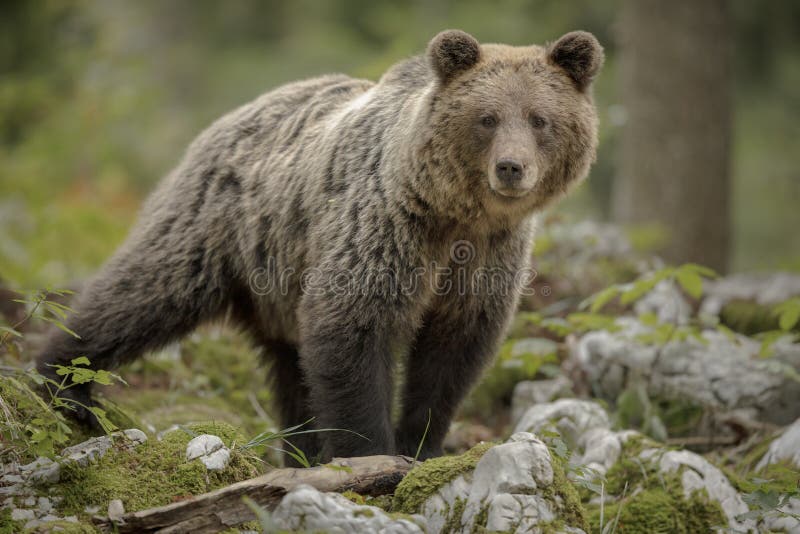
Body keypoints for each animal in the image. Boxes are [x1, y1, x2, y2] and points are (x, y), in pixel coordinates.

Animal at [37, 29, 603, 463]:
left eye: (539, 118)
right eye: (487, 118)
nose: (511, 168)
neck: (456, 214)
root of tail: (231, 117)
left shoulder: (486, 258)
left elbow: (452, 355)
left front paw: (420, 446)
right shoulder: (385, 227)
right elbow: (351, 326)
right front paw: (370, 453)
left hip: (278, 280)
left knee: (292, 373)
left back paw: (301, 452)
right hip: (216, 229)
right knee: (145, 291)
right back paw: (63, 381)